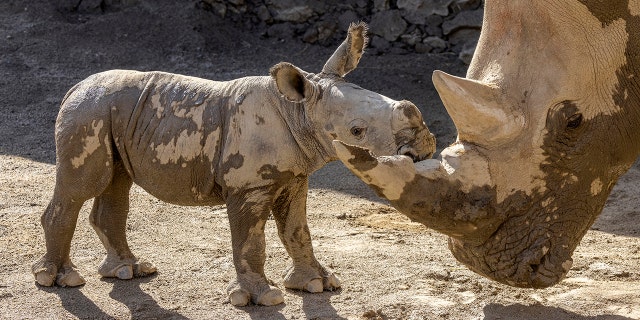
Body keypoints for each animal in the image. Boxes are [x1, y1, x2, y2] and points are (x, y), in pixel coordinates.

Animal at [31, 23, 436, 308]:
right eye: (357, 130)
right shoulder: (248, 186)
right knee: (81, 187)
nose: (424, 144)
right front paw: (263, 298)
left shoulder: (295, 177)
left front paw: (317, 284)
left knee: (116, 183)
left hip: (112, 113)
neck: (300, 110)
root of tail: (73, 88)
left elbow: (297, 230)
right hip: (88, 112)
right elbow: (251, 240)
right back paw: (60, 280)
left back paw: (128, 271)